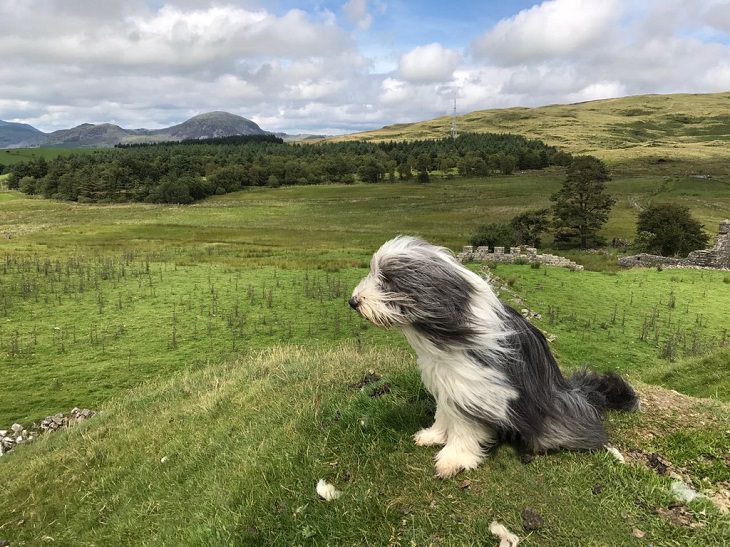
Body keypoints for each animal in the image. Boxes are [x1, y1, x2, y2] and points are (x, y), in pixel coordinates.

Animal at [348, 238, 636, 478]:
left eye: (387, 280)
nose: (353, 301)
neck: (448, 328)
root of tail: (577, 391)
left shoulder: (474, 386)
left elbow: (464, 427)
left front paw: (453, 459)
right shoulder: (446, 380)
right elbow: (444, 413)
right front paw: (433, 435)